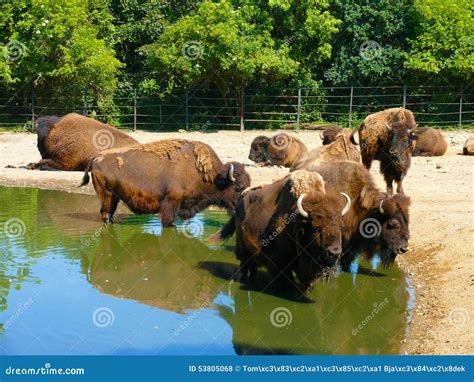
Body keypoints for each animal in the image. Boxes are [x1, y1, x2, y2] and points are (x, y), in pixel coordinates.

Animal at [80, 139, 252, 225]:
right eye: (238, 187)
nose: (243, 212)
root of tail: (96, 157)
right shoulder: (170, 203)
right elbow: (168, 221)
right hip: (107, 195)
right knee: (105, 214)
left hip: (114, 197)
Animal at [209, 172, 350, 294]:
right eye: (316, 227)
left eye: (341, 227)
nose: (334, 253)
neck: (296, 221)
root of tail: (240, 199)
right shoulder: (279, 262)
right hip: (243, 249)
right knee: (245, 265)